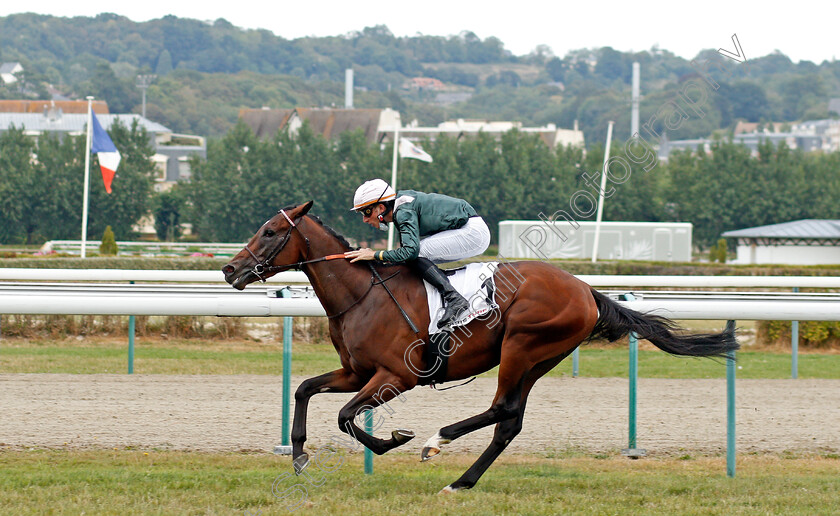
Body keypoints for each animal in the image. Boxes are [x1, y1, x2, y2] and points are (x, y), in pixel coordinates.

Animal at [221, 201, 736, 492]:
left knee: (502, 409)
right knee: (510, 421)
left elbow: (347, 416)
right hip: (539, 359)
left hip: (523, 346)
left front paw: (395, 440)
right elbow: (305, 389)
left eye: (270, 232)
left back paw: (437, 441)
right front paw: (299, 456)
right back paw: (461, 481)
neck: (361, 293)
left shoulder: (396, 376)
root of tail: (586, 290)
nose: (229, 270)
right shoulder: (356, 372)